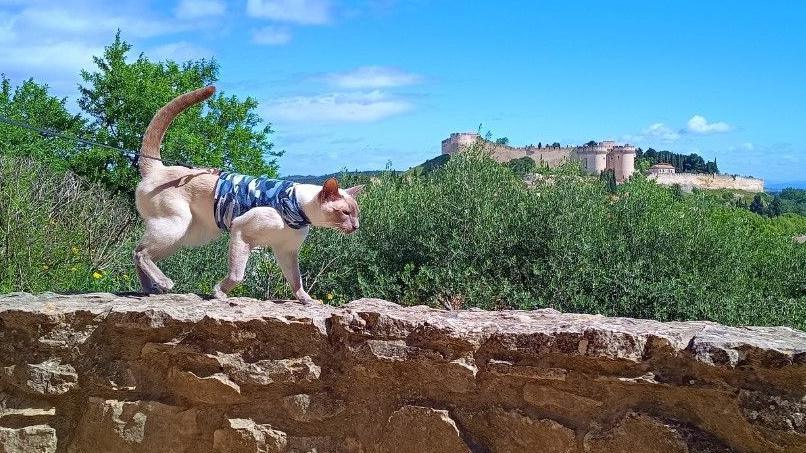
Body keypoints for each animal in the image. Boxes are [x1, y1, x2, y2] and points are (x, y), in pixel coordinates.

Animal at [133, 86, 362, 302]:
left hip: (188, 235)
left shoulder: (286, 251)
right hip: (178, 225)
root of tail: (158, 168)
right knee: (141, 252)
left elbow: (296, 281)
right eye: (345, 213)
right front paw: (219, 293)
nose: (357, 226)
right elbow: (238, 275)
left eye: (356, 213)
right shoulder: (242, 232)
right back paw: (164, 282)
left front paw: (307, 300)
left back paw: (150, 289)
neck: (297, 208)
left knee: (139, 252)